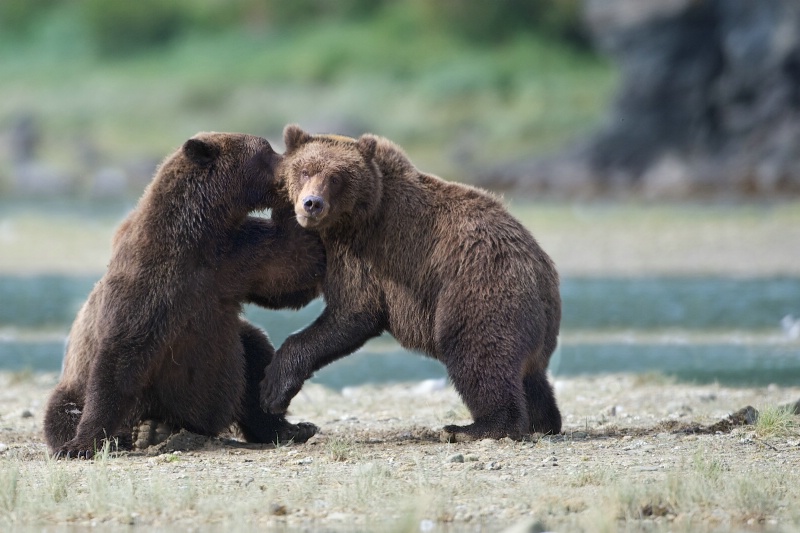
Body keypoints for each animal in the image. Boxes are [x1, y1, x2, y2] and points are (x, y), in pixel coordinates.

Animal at [43, 133, 324, 458]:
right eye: (265, 151)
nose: (290, 168)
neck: (198, 239)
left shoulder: (236, 260)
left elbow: (292, 267)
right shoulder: (148, 286)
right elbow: (120, 359)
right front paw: (81, 444)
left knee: (255, 356)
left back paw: (291, 428)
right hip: (75, 384)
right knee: (63, 410)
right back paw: (143, 432)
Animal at [262, 125, 564, 440]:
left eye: (336, 177)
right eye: (305, 170)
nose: (312, 203)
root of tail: (543, 271)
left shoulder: (366, 250)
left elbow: (353, 312)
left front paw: (273, 389)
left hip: (480, 285)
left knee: (478, 352)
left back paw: (474, 427)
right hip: (532, 322)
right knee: (530, 376)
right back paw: (543, 421)